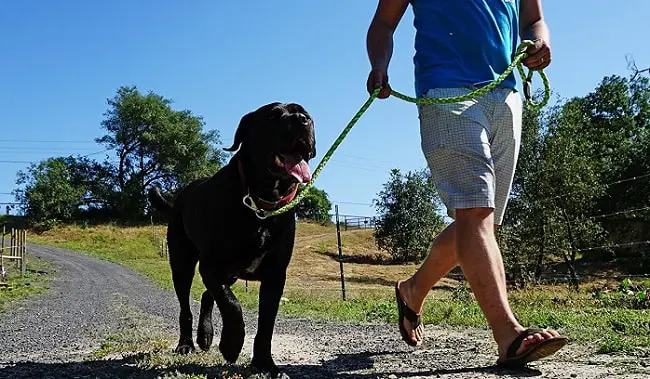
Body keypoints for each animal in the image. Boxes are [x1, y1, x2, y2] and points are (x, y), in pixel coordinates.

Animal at [149, 101, 316, 378]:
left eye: (307, 114)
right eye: (273, 116)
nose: (302, 120)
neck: (260, 204)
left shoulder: (274, 275)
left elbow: (265, 325)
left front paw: (266, 364)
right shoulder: (211, 266)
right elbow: (232, 306)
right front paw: (230, 345)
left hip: (231, 274)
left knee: (207, 296)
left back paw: (205, 336)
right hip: (182, 264)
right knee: (186, 307)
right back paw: (186, 344)